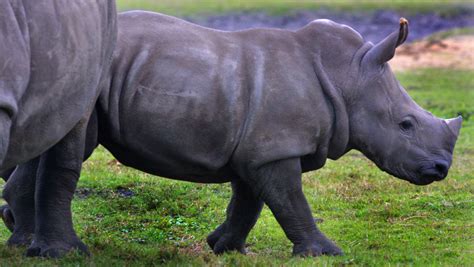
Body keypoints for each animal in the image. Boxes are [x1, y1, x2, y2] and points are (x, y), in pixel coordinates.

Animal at [0, 11, 460, 258]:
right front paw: (326, 253)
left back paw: (21, 242)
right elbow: (290, 202)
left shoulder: (258, 149)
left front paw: (223, 247)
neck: (347, 77)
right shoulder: (275, 149)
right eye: (405, 124)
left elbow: (250, 202)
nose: (440, 169)